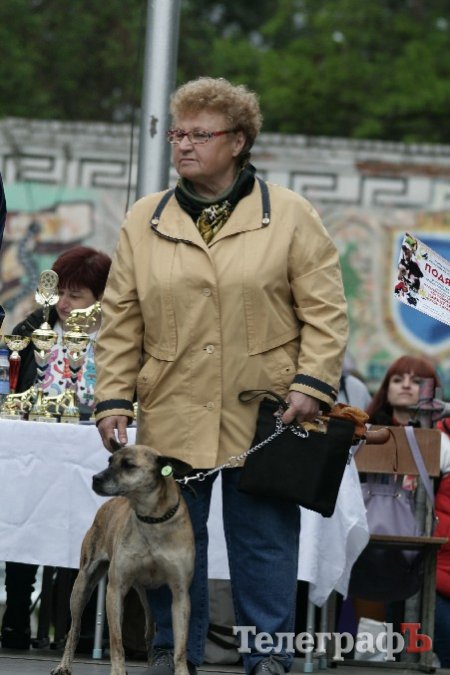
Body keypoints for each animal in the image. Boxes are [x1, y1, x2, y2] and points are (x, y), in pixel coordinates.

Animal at [51, 441, 195, 675]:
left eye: (129, 465)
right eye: (110, 461)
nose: (95, 478)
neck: (152, 519)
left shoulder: (180, 594)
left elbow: (181, 646)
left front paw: (181, 670)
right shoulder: (115, 590)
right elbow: (117, 640)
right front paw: (118, 670)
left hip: (147, 599)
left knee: (149, 631)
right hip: (83, 584)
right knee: (75, 628)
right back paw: (64, 665)